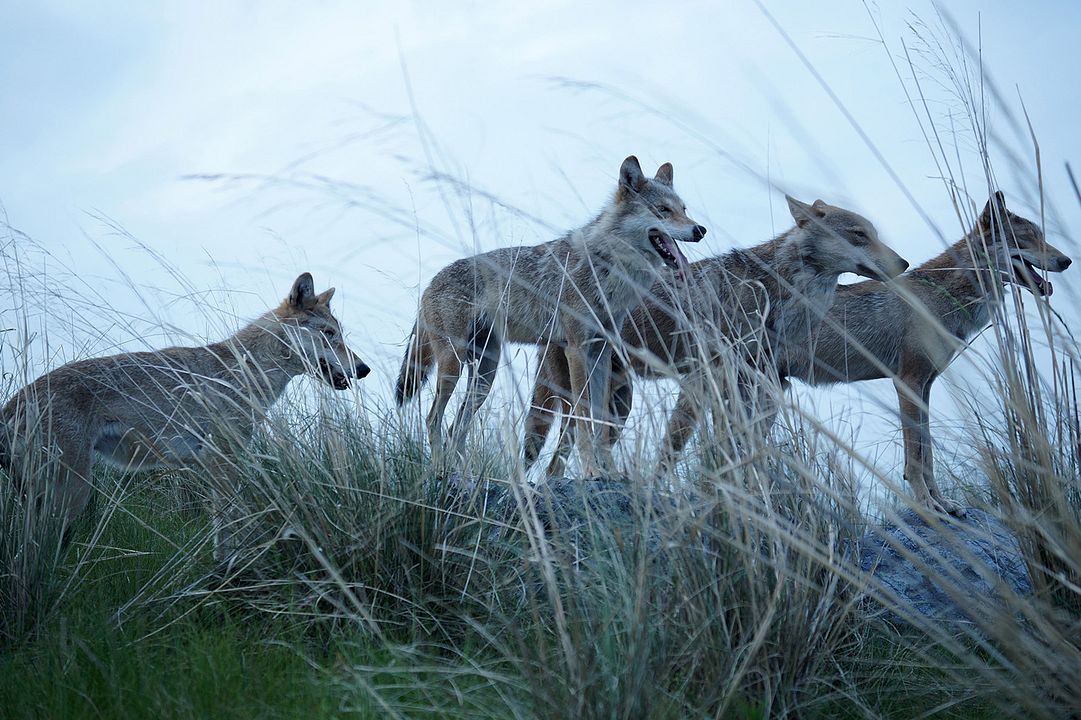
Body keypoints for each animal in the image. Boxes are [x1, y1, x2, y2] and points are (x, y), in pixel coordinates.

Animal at [0, 272, 369, 546]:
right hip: (72, 494)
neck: (248, 371)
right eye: (329, 334)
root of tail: (13, 403)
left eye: (339, 334)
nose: (364, 369)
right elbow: (227, 530)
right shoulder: (221, 461)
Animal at [395, 156, 706, 474]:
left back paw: (461, 472)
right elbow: (583, 419)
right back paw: (439, 469)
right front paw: (591, 471)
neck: (608, 270)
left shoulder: (602, 352)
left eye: (683, 210)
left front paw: (610, 471)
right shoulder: (576, 350)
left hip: (485, 375)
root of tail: (430, 283)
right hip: (453, 366)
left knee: (455, 426)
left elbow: (599, 421)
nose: (700, 230)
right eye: (663, 210)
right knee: (433, 418)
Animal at [524, 195, 909, 476]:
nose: (903, 263)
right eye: (859, 234)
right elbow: (674, 455)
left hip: (616, 406)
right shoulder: (704, 379)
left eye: (873, 234)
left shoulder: (760, 386)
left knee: (558, 461)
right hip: (587, 404)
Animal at [779, 192, 1071, 515]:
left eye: (1042, 237)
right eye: (1024, 240)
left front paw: (942, 502)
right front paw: (926, 504)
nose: (1067, 261)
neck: (945, 296)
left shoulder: (926, 385)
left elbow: (927, 452)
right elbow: (916, 457)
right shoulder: (908, 383)